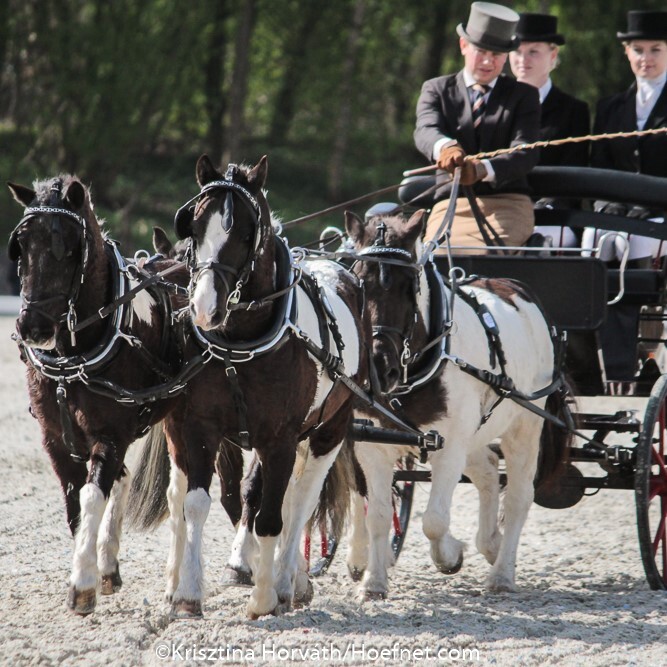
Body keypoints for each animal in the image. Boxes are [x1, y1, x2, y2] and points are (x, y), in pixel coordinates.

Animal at [348, 210, 572, 600]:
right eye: (359, 282)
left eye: (409, 285)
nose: (378, 366)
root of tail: (517, 287)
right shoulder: (372, 447)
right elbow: (376, 515)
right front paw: (373, 582)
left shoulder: (449, 445)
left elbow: (434, 521)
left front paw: (449, 555)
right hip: (477, 431)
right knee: (487, 471)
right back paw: (492, 543)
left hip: (525, 425)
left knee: (519, 495)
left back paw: (502, 573)